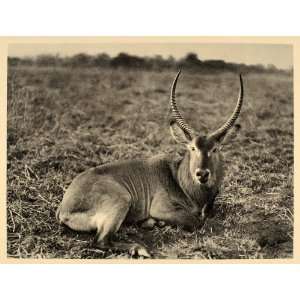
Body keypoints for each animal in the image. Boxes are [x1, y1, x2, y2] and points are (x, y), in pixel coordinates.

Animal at [56, 71, 244, 256]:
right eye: (192, 148)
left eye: (215, 149)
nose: (202, 174)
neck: (180, 179)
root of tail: (64, 207)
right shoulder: (160, 208)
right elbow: (197, 221)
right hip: (122, 200)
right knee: (100, 240)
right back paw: (140, 248)